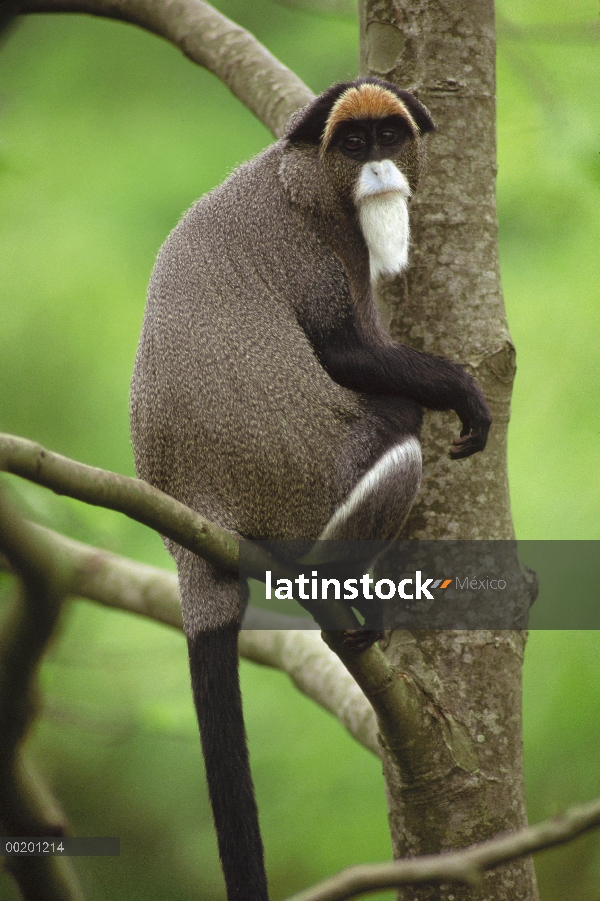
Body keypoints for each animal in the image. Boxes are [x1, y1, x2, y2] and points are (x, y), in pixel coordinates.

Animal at [130, 75, 492, 900]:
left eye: (388, 137)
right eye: (352, 144)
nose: (380, 168)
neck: (304, 182)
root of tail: (193, 528)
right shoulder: (313, 258)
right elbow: (345, 350)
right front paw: (462, 389)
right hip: (301, 484)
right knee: (397, 433)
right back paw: (340, 586)